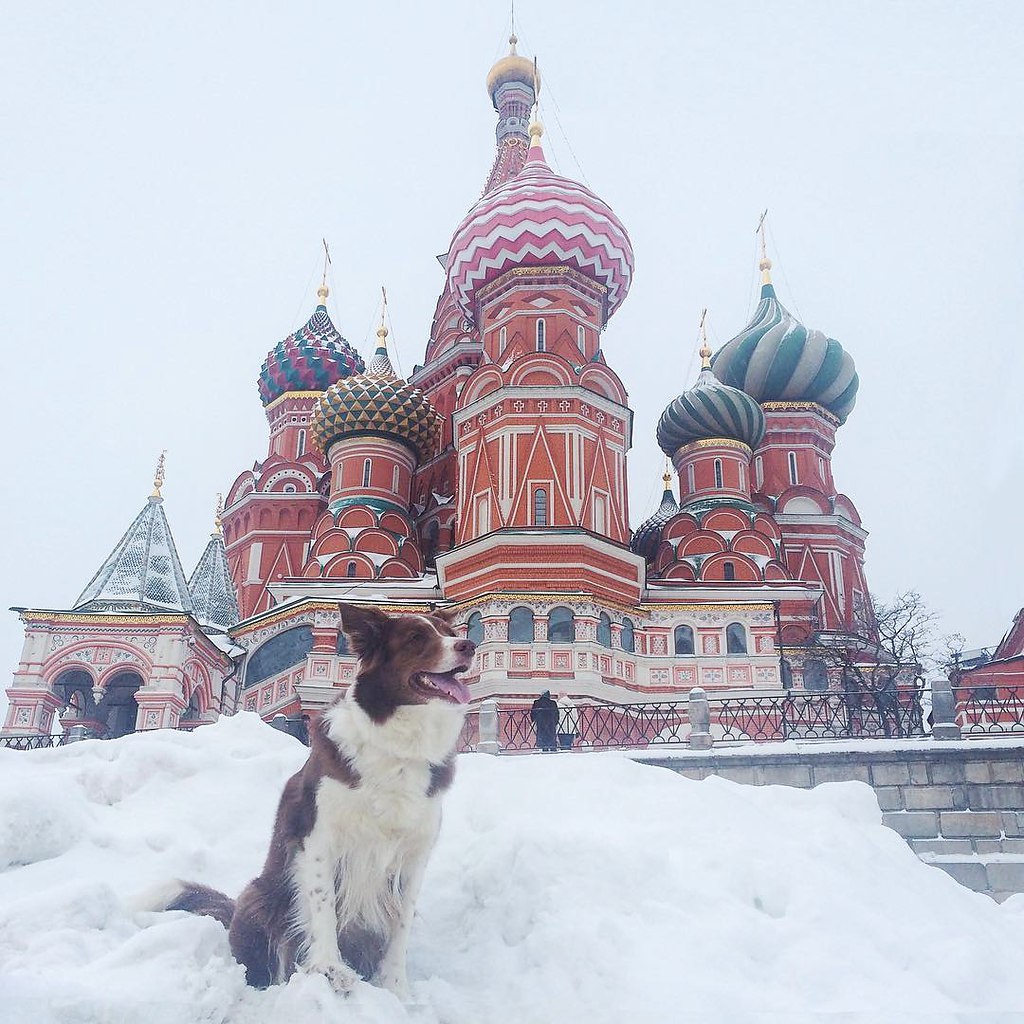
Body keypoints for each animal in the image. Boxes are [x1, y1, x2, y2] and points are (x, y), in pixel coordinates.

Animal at [162, 602, 475, 995]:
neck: (400, 746)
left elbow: (400, 925)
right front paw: (329, 969)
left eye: (449, 633)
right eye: (416, 638)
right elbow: (324, 907)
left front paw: (395, 986)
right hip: (259, 897)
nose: (469, 646)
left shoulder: (415, 854)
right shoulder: (320, 837)